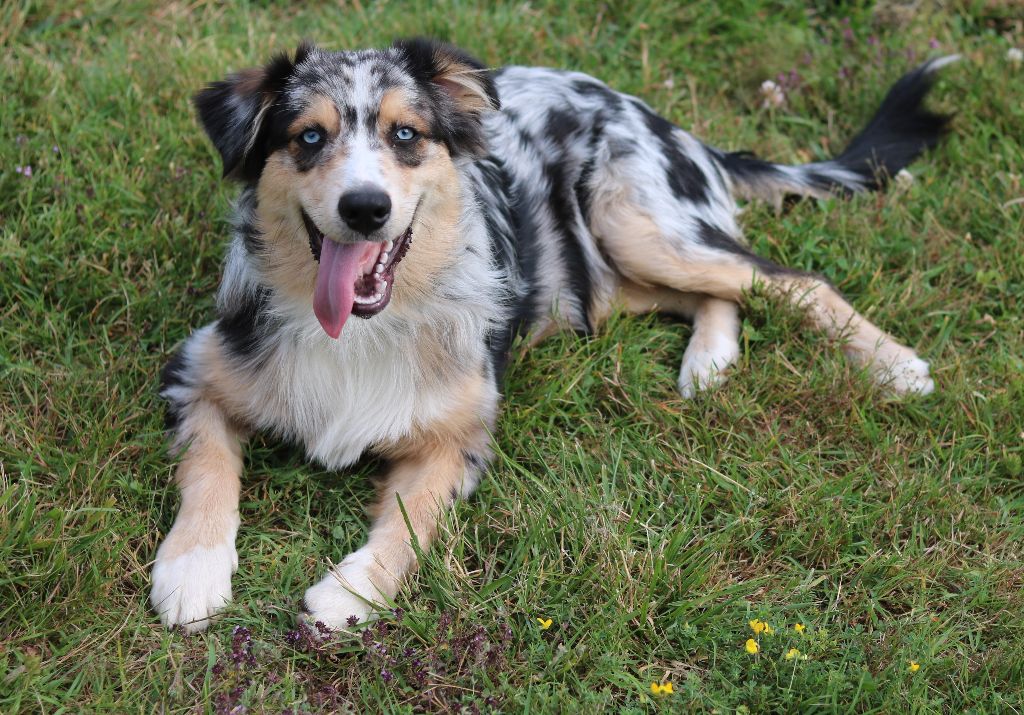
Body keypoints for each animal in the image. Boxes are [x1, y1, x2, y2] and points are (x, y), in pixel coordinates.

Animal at [153, 38, 958, 631]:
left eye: (405, 134)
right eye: (309, 136)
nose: (365, 207)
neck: (363, 331)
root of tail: (664, 120)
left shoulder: (462, 434)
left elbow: (413, 519)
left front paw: (349, 593)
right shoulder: (197, 369)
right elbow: (209, 467)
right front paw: (191, 571)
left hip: (639, 224)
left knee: (787, 279)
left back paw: (894, 366)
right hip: (602, 278)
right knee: (716, 294)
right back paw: (710, 360)